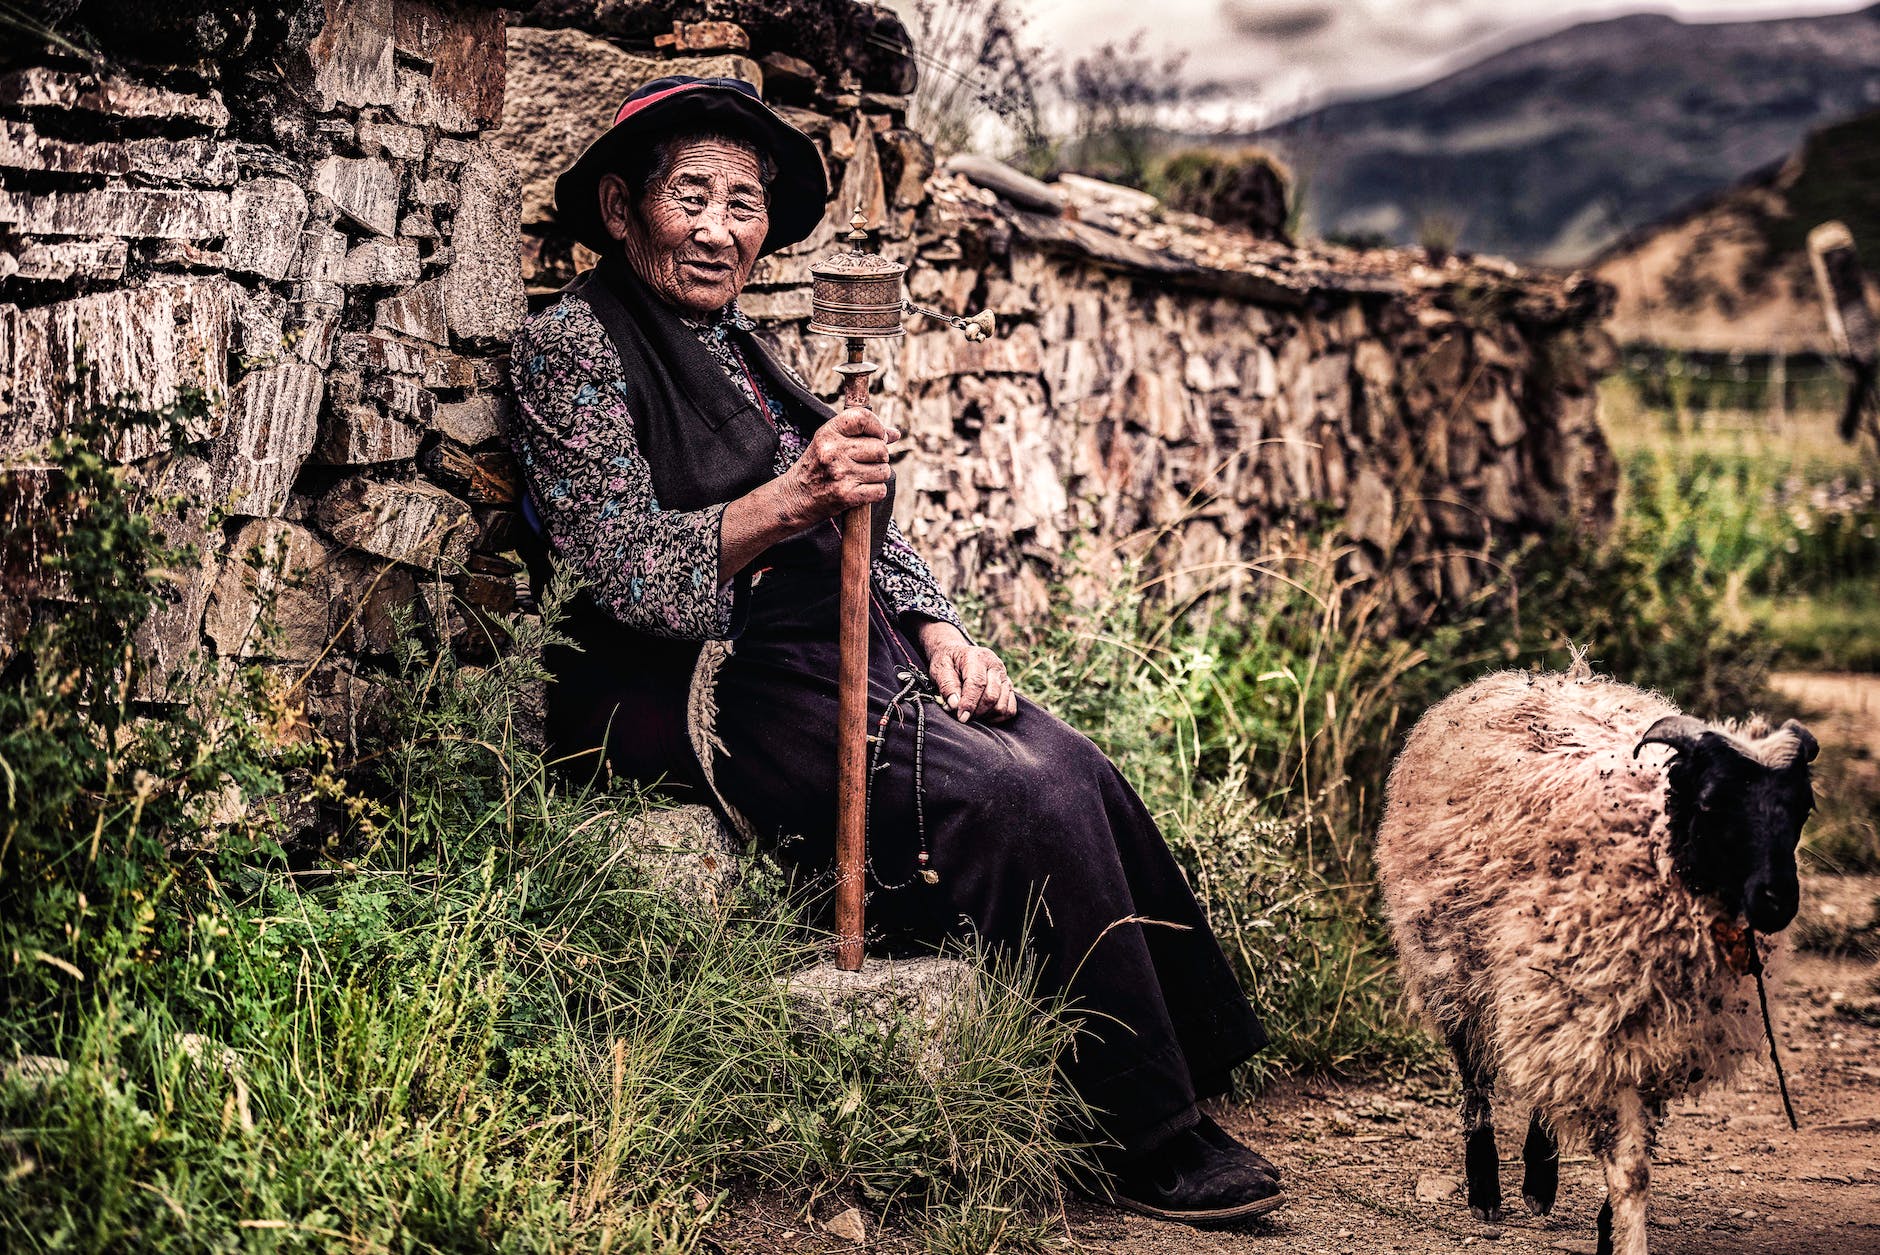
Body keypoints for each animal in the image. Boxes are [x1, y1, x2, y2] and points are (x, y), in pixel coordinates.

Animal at [1376, 661, 1812, 1247]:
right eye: (1711, 802)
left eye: (1802, 809)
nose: (1776, 901)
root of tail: (1547, 675)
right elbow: (1629, 1168)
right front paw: (1623, 1235)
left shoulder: (1655, 1038)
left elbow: (1636, 1156)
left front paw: (1610, 1228)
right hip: (1454, 966)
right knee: (1476, 1079)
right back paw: (1487, 1190)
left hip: (1548, 994)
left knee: (1545, 1087)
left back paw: (1539, 1180)